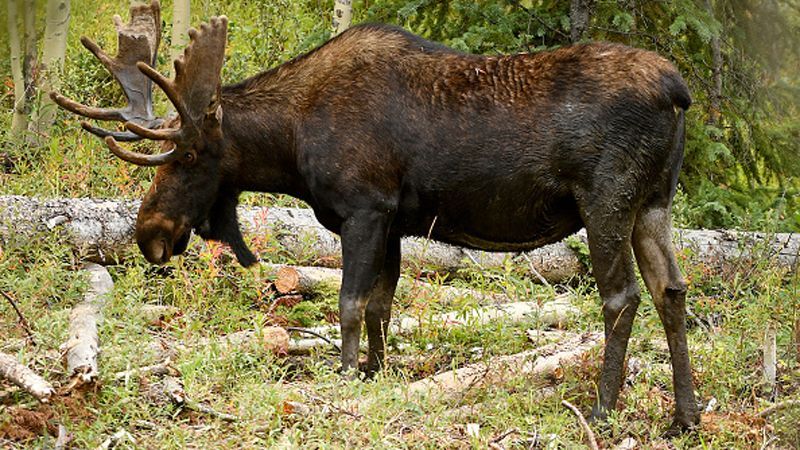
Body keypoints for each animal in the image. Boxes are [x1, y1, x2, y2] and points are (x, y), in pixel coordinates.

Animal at [51, 0, 700, 428]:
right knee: (671, 289)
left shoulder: (364, 209)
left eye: (186, 155)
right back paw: (685, 415)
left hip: (606, 201)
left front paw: (341, 381)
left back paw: (603, 407)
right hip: (653, 203)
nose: (149, 234)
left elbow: (349, 304)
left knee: (622, 297)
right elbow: (383, 306)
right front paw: (373, 375)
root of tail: (678, 89)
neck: (292, 143)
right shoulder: (393, 219)